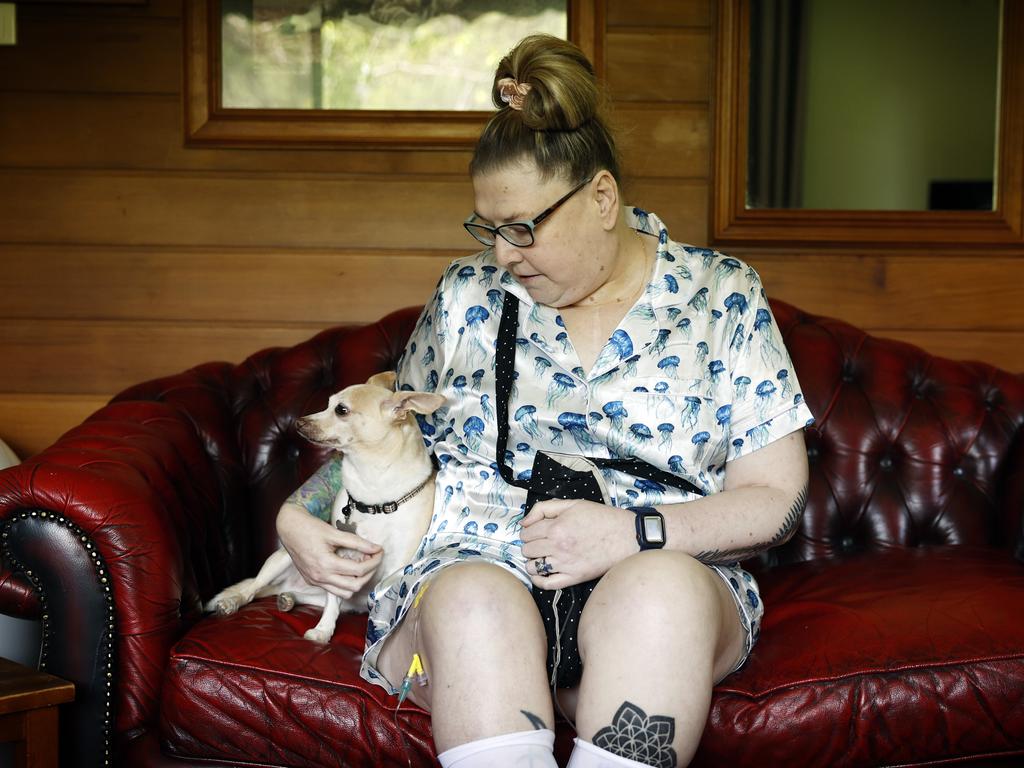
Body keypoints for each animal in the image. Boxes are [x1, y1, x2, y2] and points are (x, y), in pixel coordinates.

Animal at [205, 372, 446, 643]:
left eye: (341, 410)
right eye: (328, 404)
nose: (298, 422)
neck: (373, 495)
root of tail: (287, 584)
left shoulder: (395, 568)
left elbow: (379, 607)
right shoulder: (337, 562)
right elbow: (332, 603)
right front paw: (322, 631)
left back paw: (287, 598)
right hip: (282, 558)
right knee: (253, 587)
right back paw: (233, 600)